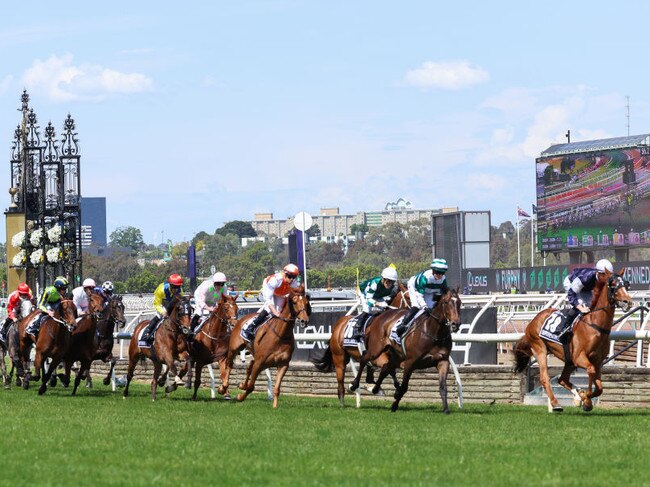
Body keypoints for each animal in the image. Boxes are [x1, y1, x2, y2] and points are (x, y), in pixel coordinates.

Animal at [512, 268, 632, 414]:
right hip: (540, 349)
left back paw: (577, 395)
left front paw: (583, 398)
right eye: (613, 284)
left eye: (626, 284)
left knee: (562, 379)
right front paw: (586, 399)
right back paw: (556, 404)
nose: (628, 302)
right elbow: (590, 371)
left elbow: (599, 388)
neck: (595, 326)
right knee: (545, 378)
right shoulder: (579, 357)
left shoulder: (597, 362)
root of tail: (534, 320)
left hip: (568, 360)